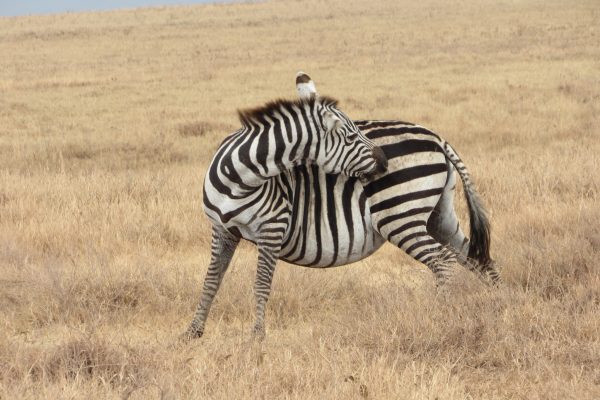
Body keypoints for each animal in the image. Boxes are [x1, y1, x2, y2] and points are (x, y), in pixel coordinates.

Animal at [184, 89, 390, 340]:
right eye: (350, 137)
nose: (385, 161)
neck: (238, 180)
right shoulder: (221, 228)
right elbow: (212, 280)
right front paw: (193, 330)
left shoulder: (271, 229)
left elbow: (262, 284)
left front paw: (257, 335)